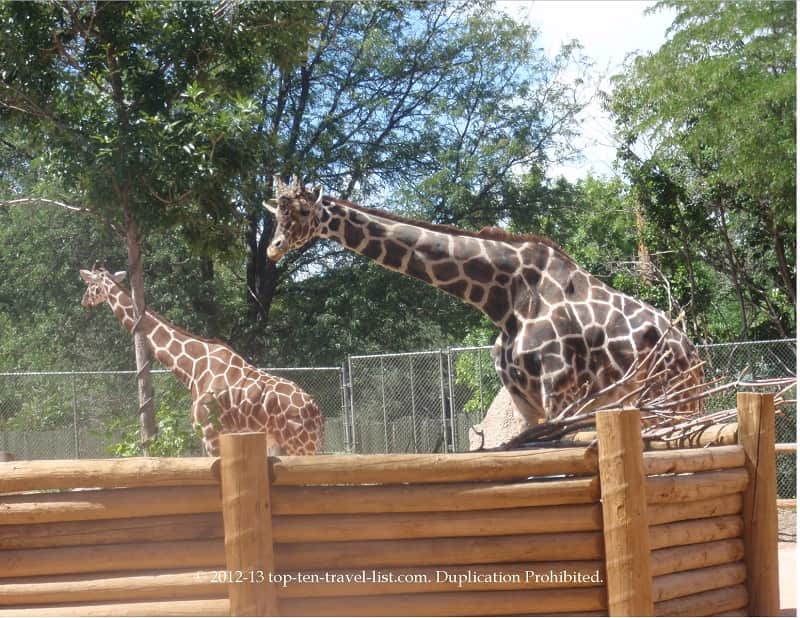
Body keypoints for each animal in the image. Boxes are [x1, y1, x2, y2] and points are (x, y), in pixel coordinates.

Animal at [79, 265, 324, 456]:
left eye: (89, 285)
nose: (84, 302)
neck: (193, 368)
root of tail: (317, 411)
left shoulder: (210, 433)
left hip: (299, 445)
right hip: (287, 444)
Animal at [265, 175, 704, 428]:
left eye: (301, 210)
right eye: (275, 213)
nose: (272, 248)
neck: (503, 301)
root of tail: (694, 352)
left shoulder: (562, 394)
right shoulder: (525, 403)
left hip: (676, 399)